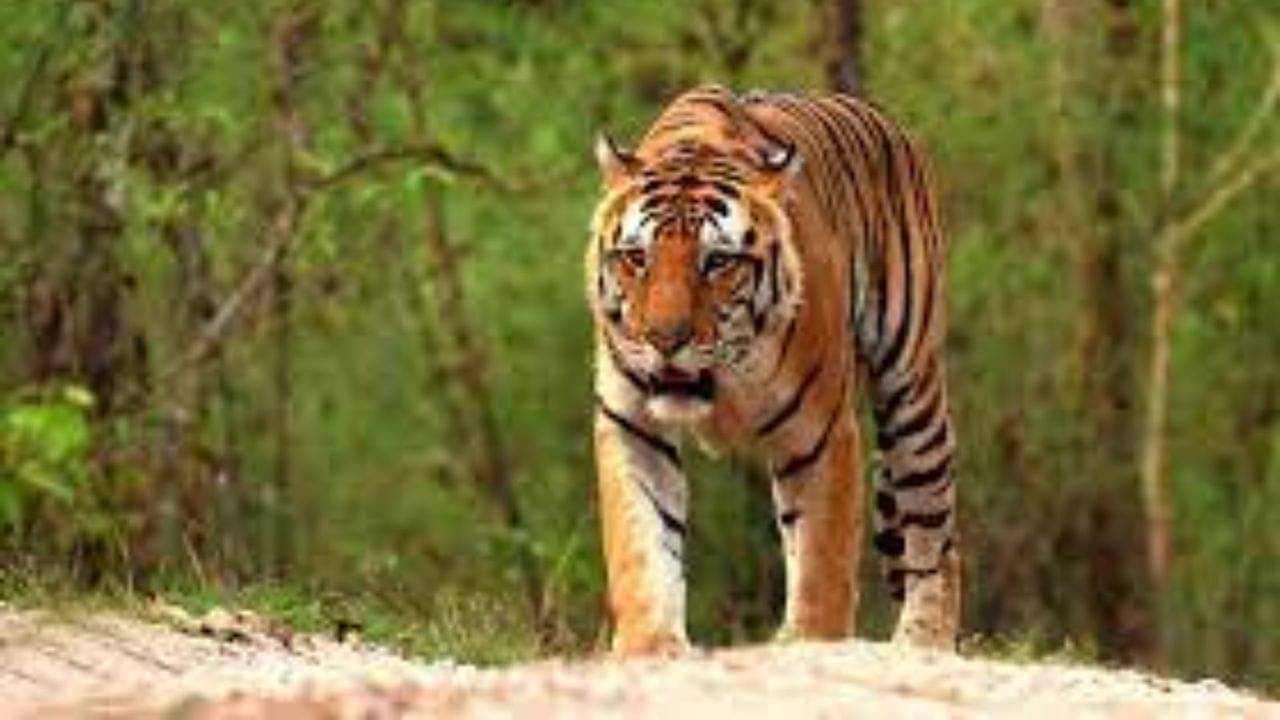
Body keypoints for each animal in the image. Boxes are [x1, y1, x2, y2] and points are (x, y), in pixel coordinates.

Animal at [585, 85, 959, 655]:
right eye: (636, 257)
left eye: (718, 262)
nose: (664, 340)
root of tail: (885, 120)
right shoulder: (632, 423)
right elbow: (642, 543)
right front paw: (649, 646)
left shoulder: (821, 432)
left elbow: (822, 557)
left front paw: (810, 642)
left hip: (911, 385)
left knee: (933, 530)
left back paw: (923, 642)